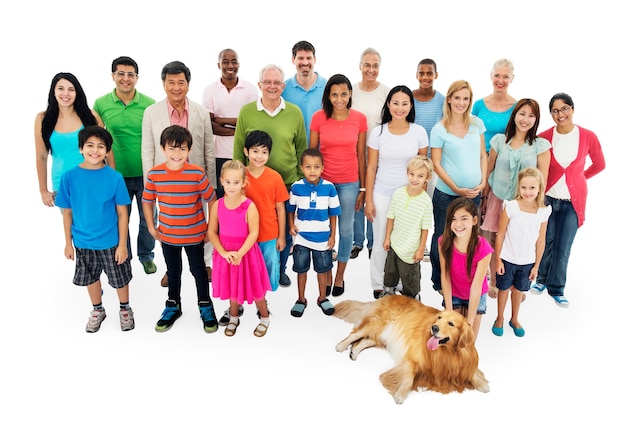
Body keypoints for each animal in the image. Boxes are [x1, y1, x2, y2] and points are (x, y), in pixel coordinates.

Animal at [332, 294, 488, 402]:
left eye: (451, 323)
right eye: (439, 318)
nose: (434, 328)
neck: (445, 352)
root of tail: (389, 295)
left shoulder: (463, 364)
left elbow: (472, 374)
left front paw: (482, 385)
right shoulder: (412, 358)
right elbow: (408, 378)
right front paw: (401, 394)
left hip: (383, 335)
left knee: (364, 341)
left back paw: (354, 352)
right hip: (376, 324)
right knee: (354, 334)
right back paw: (341, 345)